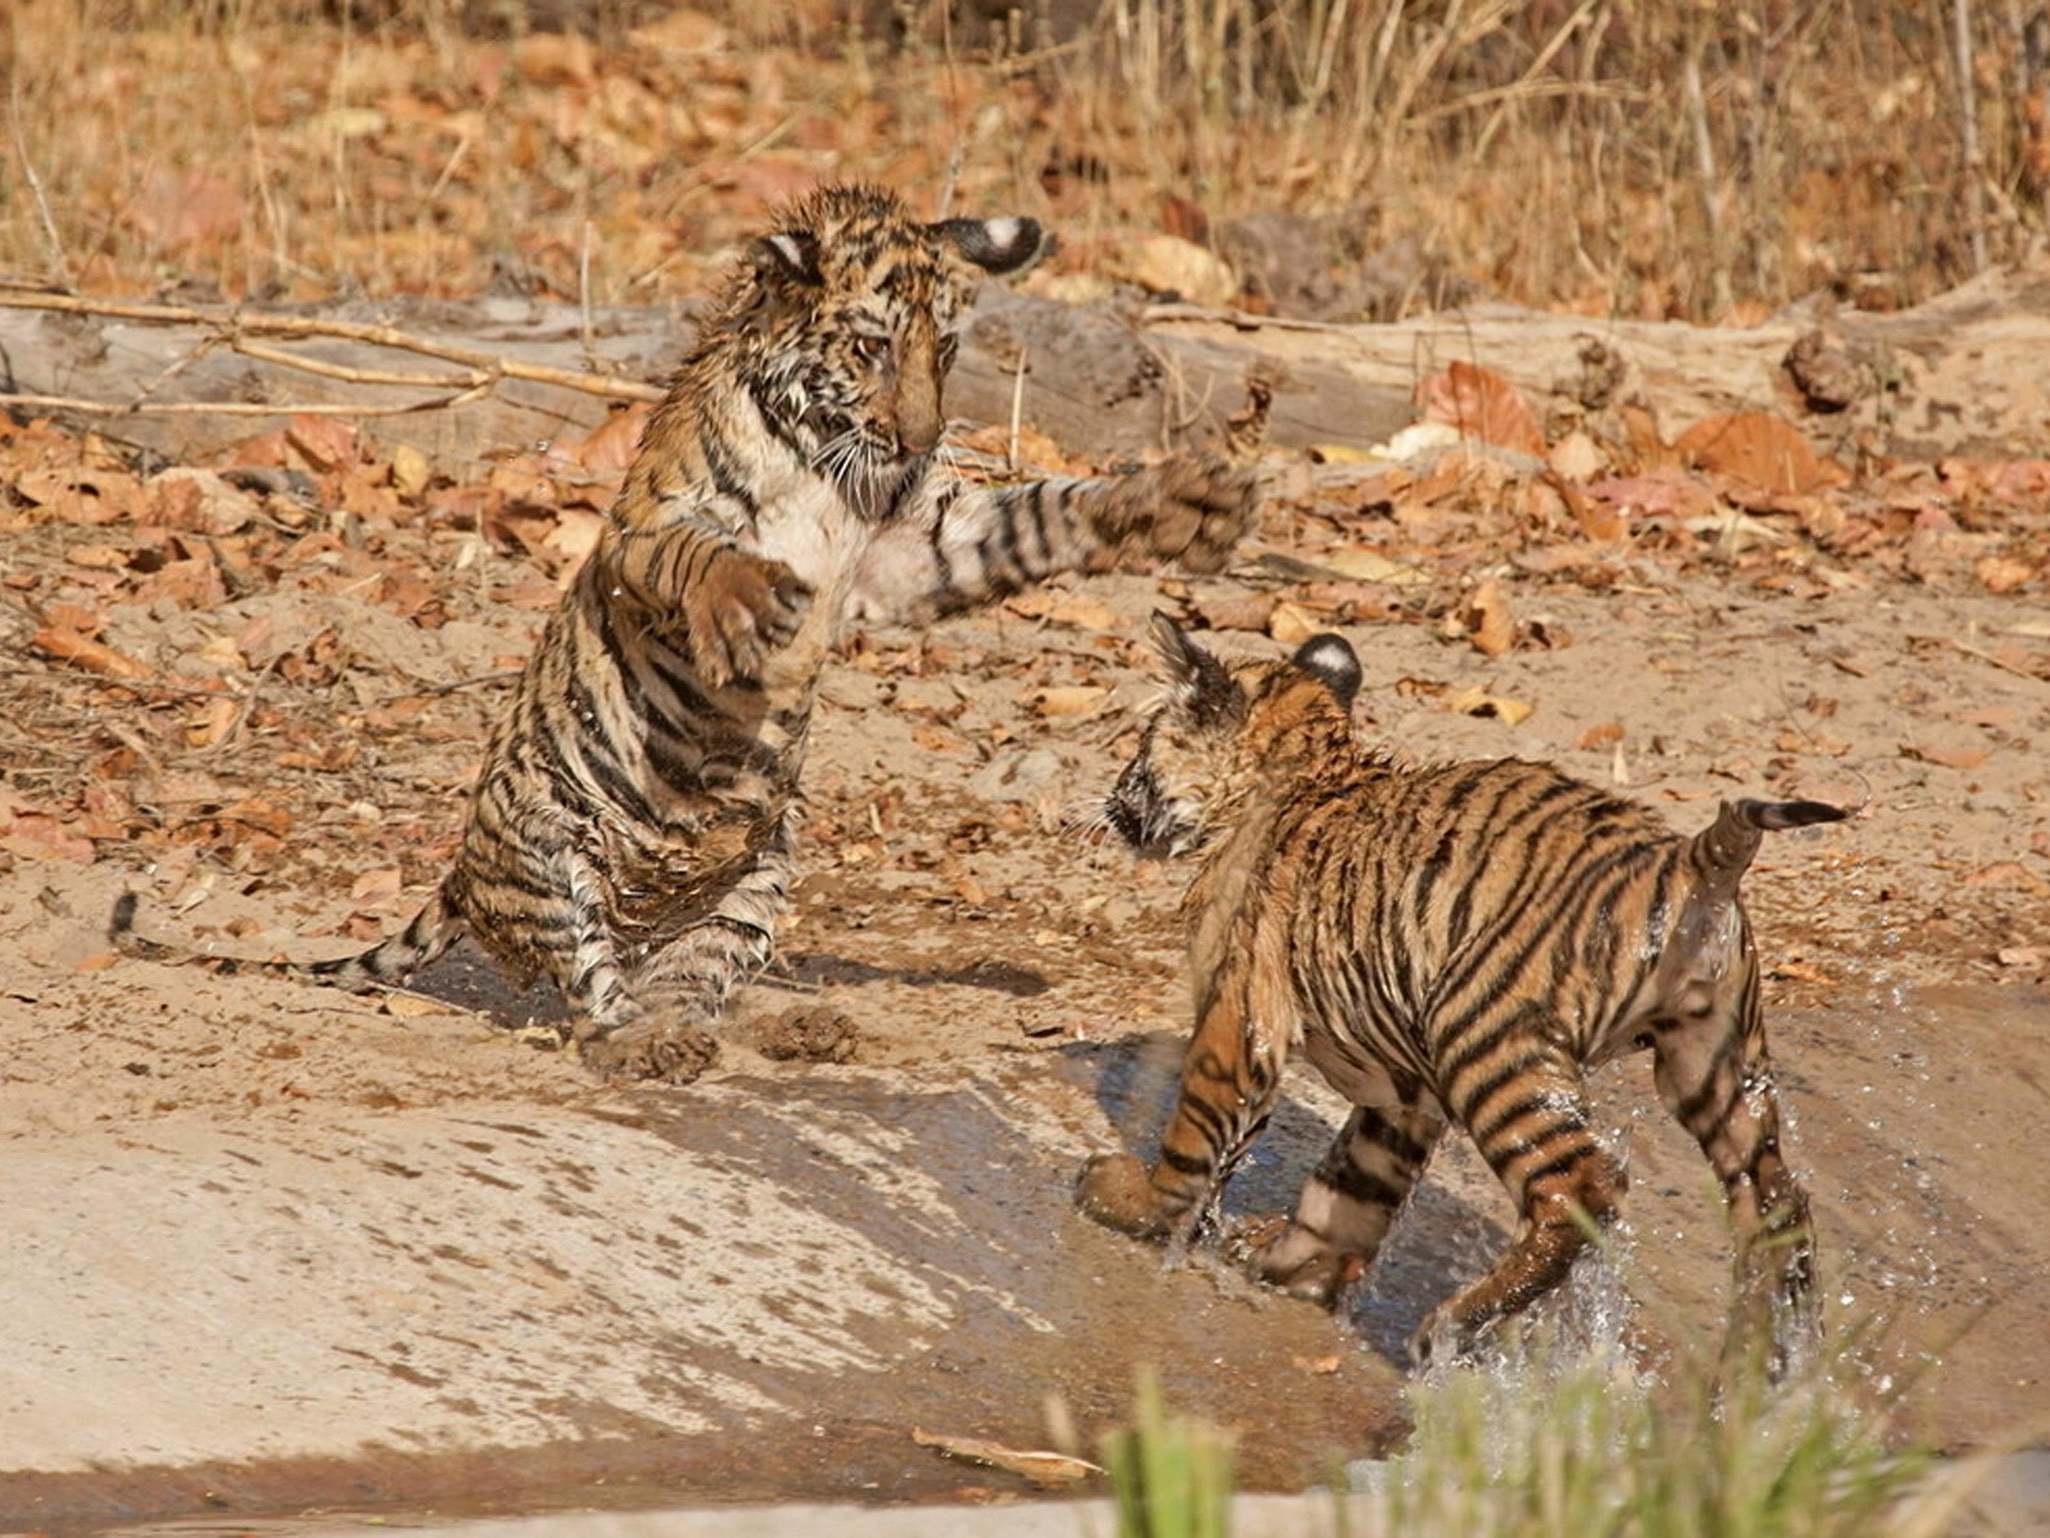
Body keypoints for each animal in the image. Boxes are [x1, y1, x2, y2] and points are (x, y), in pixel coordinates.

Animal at [111, 184, 1262, 1084]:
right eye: (870, 348)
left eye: (944, 350)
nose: (920, 436)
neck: (826, 460)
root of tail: (465, 873)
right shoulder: (644, 526)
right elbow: (702, 561)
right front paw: (750, 607)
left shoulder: (918, 548)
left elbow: (1042, 515)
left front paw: (1176, 504)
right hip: (551, 849)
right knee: (596, 997)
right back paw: (645, 1042)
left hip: (756, 883)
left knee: (693, 987)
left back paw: (790, 1026)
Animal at [1074, 615, 1840, 1368]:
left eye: (1140, 744)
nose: (1112, 799)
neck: (1300, 767)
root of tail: (1685, 858)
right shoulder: (1402, 1089)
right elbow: (1352, 1187)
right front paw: (1288, 1260)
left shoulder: (1240, 1010)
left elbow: (1195, 1136)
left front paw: (1130, 1200)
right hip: (1714, 1060)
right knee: (1778, 1201)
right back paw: (1762, 1365)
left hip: (1485, 1033)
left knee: (1582, 1188)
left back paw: (1450, 1326)